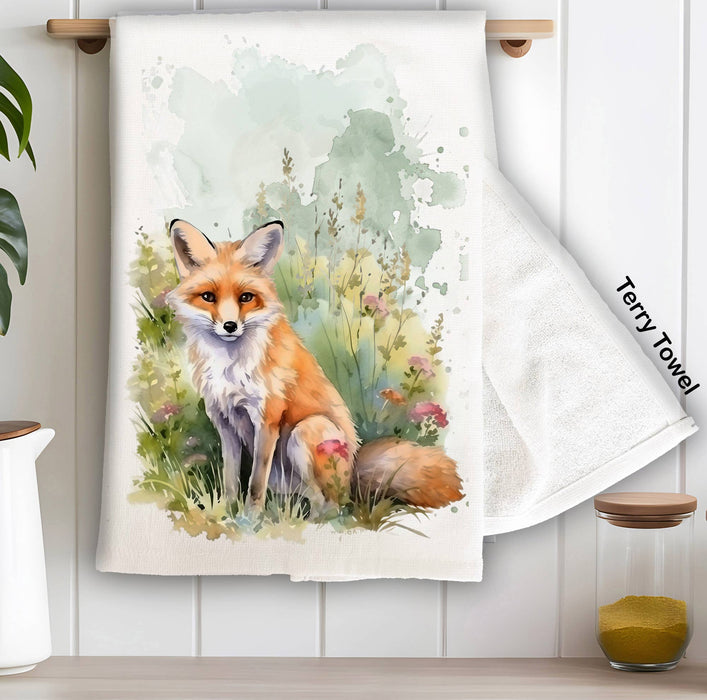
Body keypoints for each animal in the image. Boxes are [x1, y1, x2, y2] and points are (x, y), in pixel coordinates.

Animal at [166, 218, 464, 513]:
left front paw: (250, 518)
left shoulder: (267, 418)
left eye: (246, 298)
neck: (229, 365)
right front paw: (226, 514)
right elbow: (230, 479)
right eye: (208, 297)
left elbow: (255, 484)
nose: (230, 326)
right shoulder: (224, 420)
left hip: (307, 431)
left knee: (331, 506)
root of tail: (353, 473)